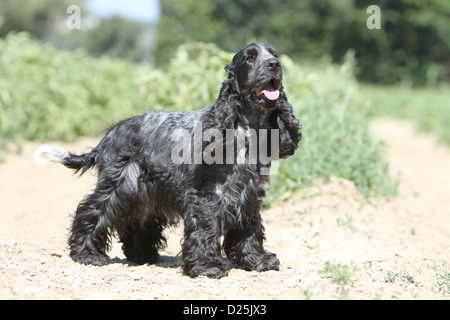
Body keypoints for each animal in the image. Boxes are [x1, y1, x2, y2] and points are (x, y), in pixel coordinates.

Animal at [36, 42, 302, 278]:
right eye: (249, 57)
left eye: (274, 54)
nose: (274, 64)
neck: (246, 129)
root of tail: (110, 133)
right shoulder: (208, 194)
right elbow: (206, 227)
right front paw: (207, 266)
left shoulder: (249, 192)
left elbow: (250, 228)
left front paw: (257, 259)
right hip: (120, 183)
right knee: (92, 210)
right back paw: (87, 253)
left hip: (145, 192)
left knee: (137, 221)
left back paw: (142, 254)